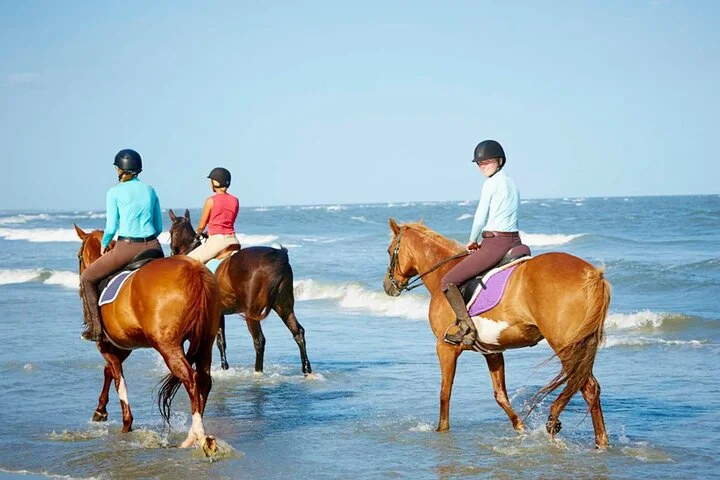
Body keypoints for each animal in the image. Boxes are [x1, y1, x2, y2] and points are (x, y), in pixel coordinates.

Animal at [74, 225, 221, 453]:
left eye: (79, 256)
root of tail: (194, 271)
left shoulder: (107, 347)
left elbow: (118, 379)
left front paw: (126, 424)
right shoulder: (123, 346)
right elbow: (109, 372)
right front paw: (100, 411)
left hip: (169, 347)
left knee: (191, 379)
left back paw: (195, 435)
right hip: (206, 341)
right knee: (204, 380)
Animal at [167, 209, 312, 376]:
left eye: (170, 232)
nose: (171, 253)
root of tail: (277, 257)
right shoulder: (218, 313)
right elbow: (221, 341)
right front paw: (224, 367)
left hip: (253, 313)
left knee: (259, 340)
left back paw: (258, 372)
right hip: (284, 306)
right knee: (297, 331)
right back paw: (306, 369)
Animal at [383, 218, 611, 448]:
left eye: (389, 251)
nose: (387, 286)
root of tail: (592, 274)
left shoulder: (445, 346)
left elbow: (445, 392)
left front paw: (441, 430)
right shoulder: (492, 350)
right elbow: (500, 395)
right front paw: (520, 427)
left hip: (566, 345)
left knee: (587, 387)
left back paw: (561, 425)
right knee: (590, 388)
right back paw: (599, 442)